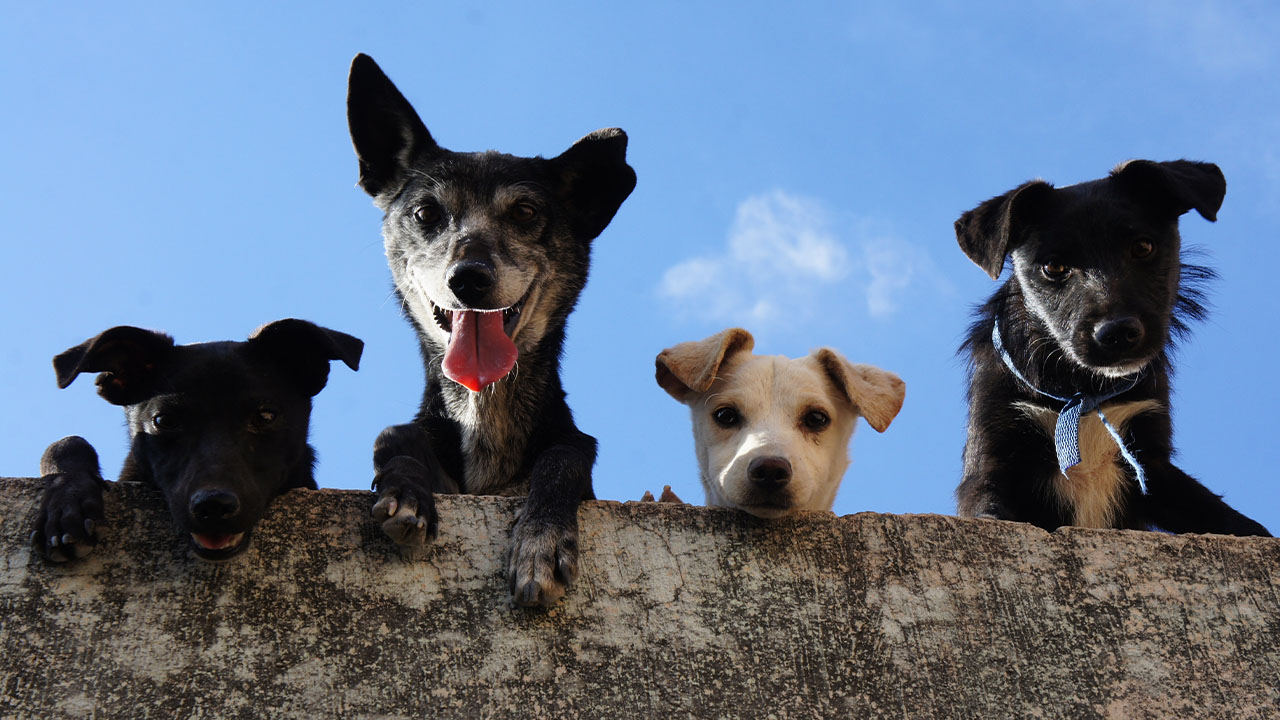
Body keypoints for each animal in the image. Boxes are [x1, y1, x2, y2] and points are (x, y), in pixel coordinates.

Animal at [345, 53, 634, 602]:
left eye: (524, 211)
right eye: (426, 212)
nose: (469, 278)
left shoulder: (570, 451)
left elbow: (565, 456)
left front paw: (541, 541)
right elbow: (392, 434)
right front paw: (406, 491)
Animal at [952, 159, 1269, 535]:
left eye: (1143, 247)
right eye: (1053, 267)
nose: (1117, 332)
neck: (1083, 392)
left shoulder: (1152, 463)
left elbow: (1224, 516)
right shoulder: (993, 459)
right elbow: (989, 510)